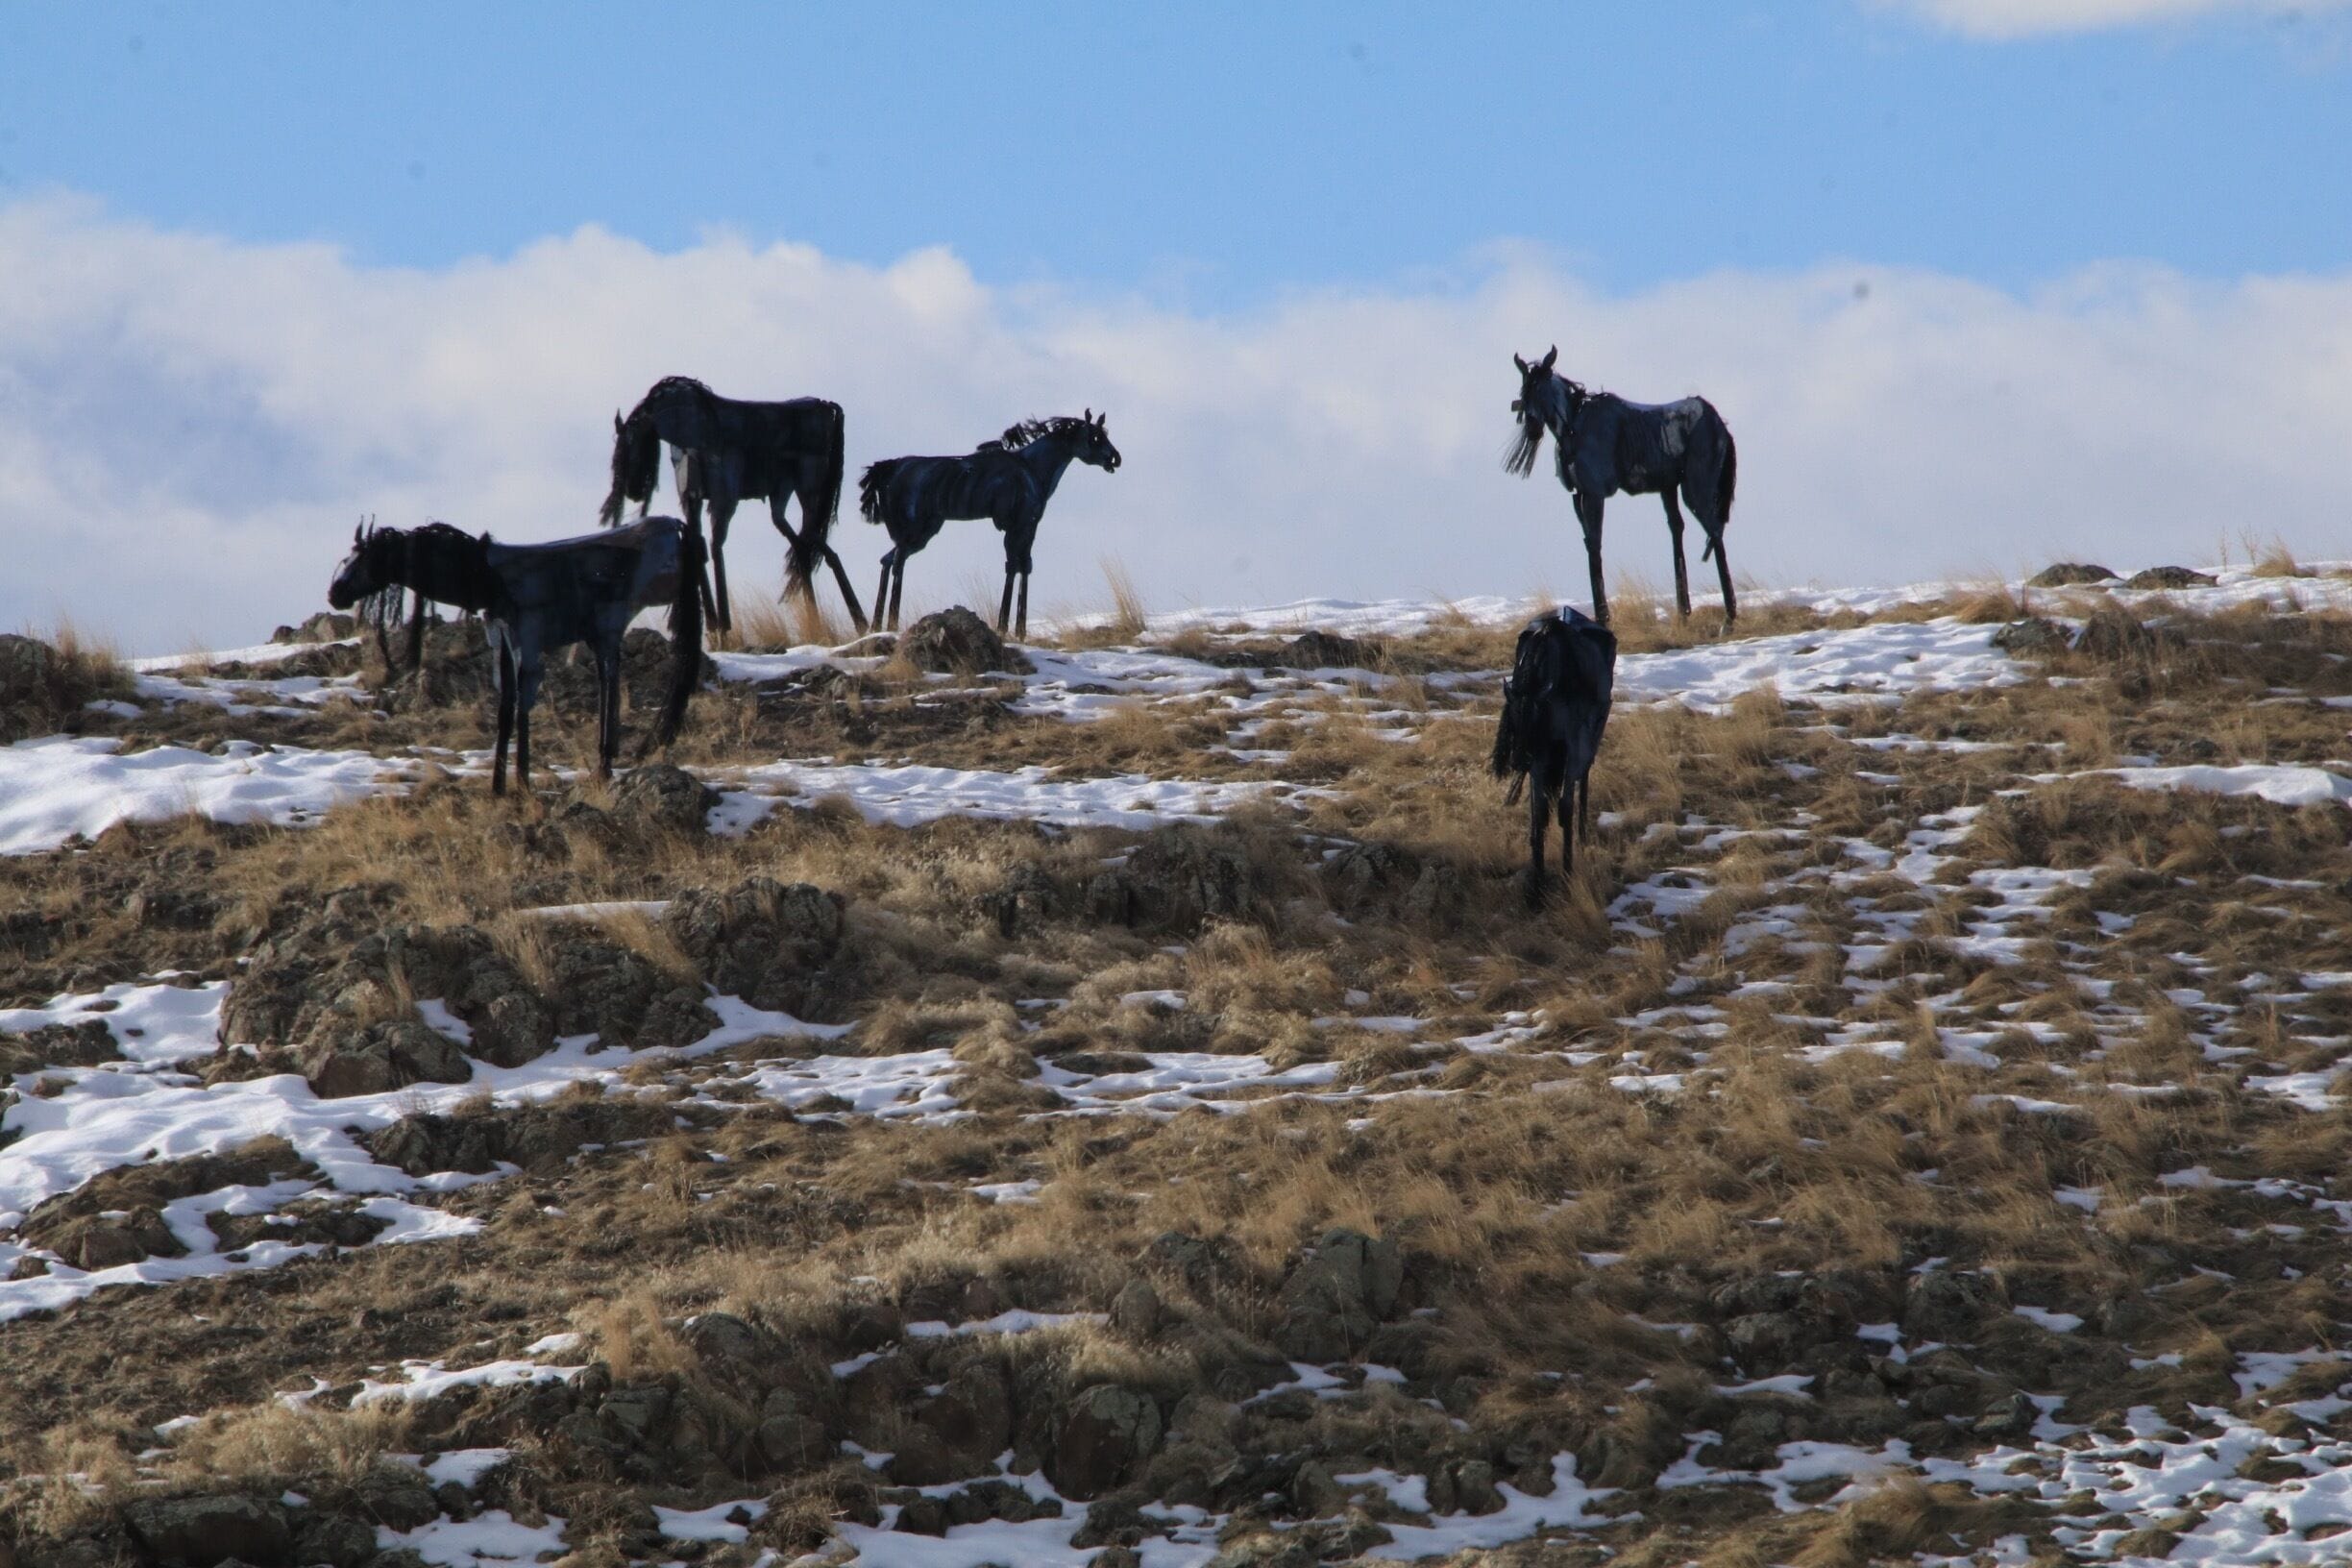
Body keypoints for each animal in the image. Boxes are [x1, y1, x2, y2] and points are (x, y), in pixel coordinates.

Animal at [328, 518, 705, 795]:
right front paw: (498, 787)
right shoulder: (503, 645)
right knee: (608, 680)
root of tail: (676, 526)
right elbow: (505, 710)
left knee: (609, 683)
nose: (335, 594)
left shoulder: (529, 641)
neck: (485, 577)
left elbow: (523, 707)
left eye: (365, 558)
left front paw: (522, 784)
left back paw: (605, 765)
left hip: (609, 626)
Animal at [599, 375, 866, 637]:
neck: (693, 427)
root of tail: (825, 406)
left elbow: (716, 547)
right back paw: (821, 621)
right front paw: (712, 626)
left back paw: (859, 622)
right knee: (803, 546)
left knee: (816, 544)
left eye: (635, 443)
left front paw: (724, 628)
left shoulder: (723, 499)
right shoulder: (692, 502)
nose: (632, 491)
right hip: (781, 496)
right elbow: (698, 546)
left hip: (809, 486)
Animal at [857, 411, 1121, 640]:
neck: (1031, 468)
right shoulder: (1016, 526)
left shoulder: (1029, 526)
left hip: (922, 532)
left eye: (1106, 433)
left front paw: (1020, 630)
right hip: (914, 530)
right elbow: (1013, 565)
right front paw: (1004, 627)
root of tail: (889, 468)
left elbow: (1025, 565)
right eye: (1095, 437)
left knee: (887, 560)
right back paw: (891, 623)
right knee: (897, 562)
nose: (1115, 458)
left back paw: (876, 625)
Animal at [1491, 607, 1617, 907]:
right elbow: (1539, 812)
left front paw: (1568, 875)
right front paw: (1535, 886)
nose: (1518, 761)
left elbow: (1565, 807)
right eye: (1511, 718)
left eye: (1535, 716)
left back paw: (1582, 835)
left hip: (1587, 741)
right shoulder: (1542, 755)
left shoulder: (1573, 745)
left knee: (1582, 781)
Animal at [1505, 346, 1739, 628]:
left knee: (1714, 531)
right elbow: (1590, 544)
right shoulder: (1578, 496)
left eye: (1542, 388)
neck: (1575, 428)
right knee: (1678, 528)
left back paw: (1728, 616)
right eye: (1524, 390)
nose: (1531, 429)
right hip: (1669, 488)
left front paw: (1603, 617)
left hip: (1696, 489)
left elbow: (1596, 544)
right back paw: (1683, 613)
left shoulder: (1594, 494)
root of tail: (1718, 423)